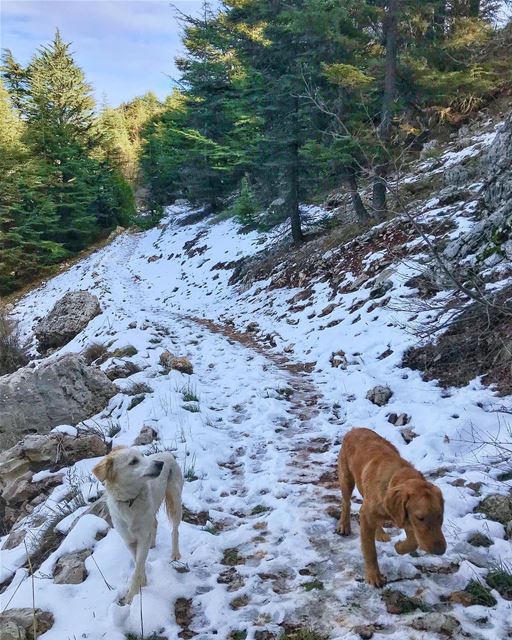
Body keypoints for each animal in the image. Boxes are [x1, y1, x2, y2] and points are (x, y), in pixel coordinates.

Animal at [93, 448, 183, 604]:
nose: (160, 464)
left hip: (175, 501)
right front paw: (143, 581)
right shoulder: (129, 541)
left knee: (175, 530)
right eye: (133, 461)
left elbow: (138, 567)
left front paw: (131, 596)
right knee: (154, 524)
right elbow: (137, 563)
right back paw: (152, 544)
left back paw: (175, 553)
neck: (129, 500)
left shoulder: (142, 537)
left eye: (143, 455)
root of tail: (167, 454)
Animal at [336, 428, 444, 588]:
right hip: (346, 479)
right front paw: (374, 576)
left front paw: (399, 547)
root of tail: (354, 429)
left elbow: (413, 542)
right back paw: (344, 525)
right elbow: (370, 551)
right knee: (346, 503)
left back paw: (380, 533)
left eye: (440, 516)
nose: (440, 551)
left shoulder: (405, 518)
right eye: (420, 517)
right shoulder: (368, 514)